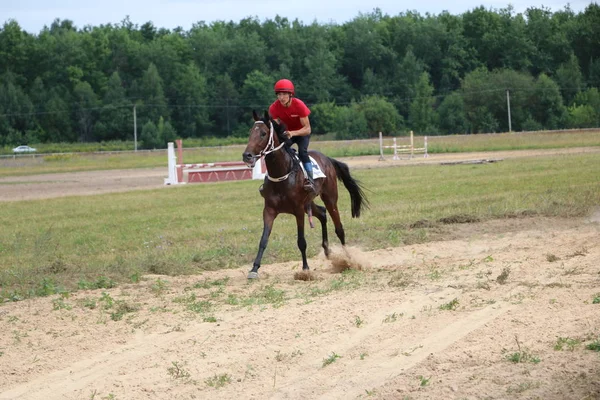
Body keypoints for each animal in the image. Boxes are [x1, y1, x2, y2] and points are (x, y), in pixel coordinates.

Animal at [241, 109, 368, 278]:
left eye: (263, 133)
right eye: (250, 132)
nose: (247, 155)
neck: (283, 174)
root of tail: (328, 159)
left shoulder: (298, 210)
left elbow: (301, 241)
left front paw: (305, 269)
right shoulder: (269, 210)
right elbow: (263, 240)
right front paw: (254, 269)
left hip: (330, 198)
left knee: (339, 228)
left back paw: (348, 259)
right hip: (310, 202)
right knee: (322, 213)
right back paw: (327, 250)